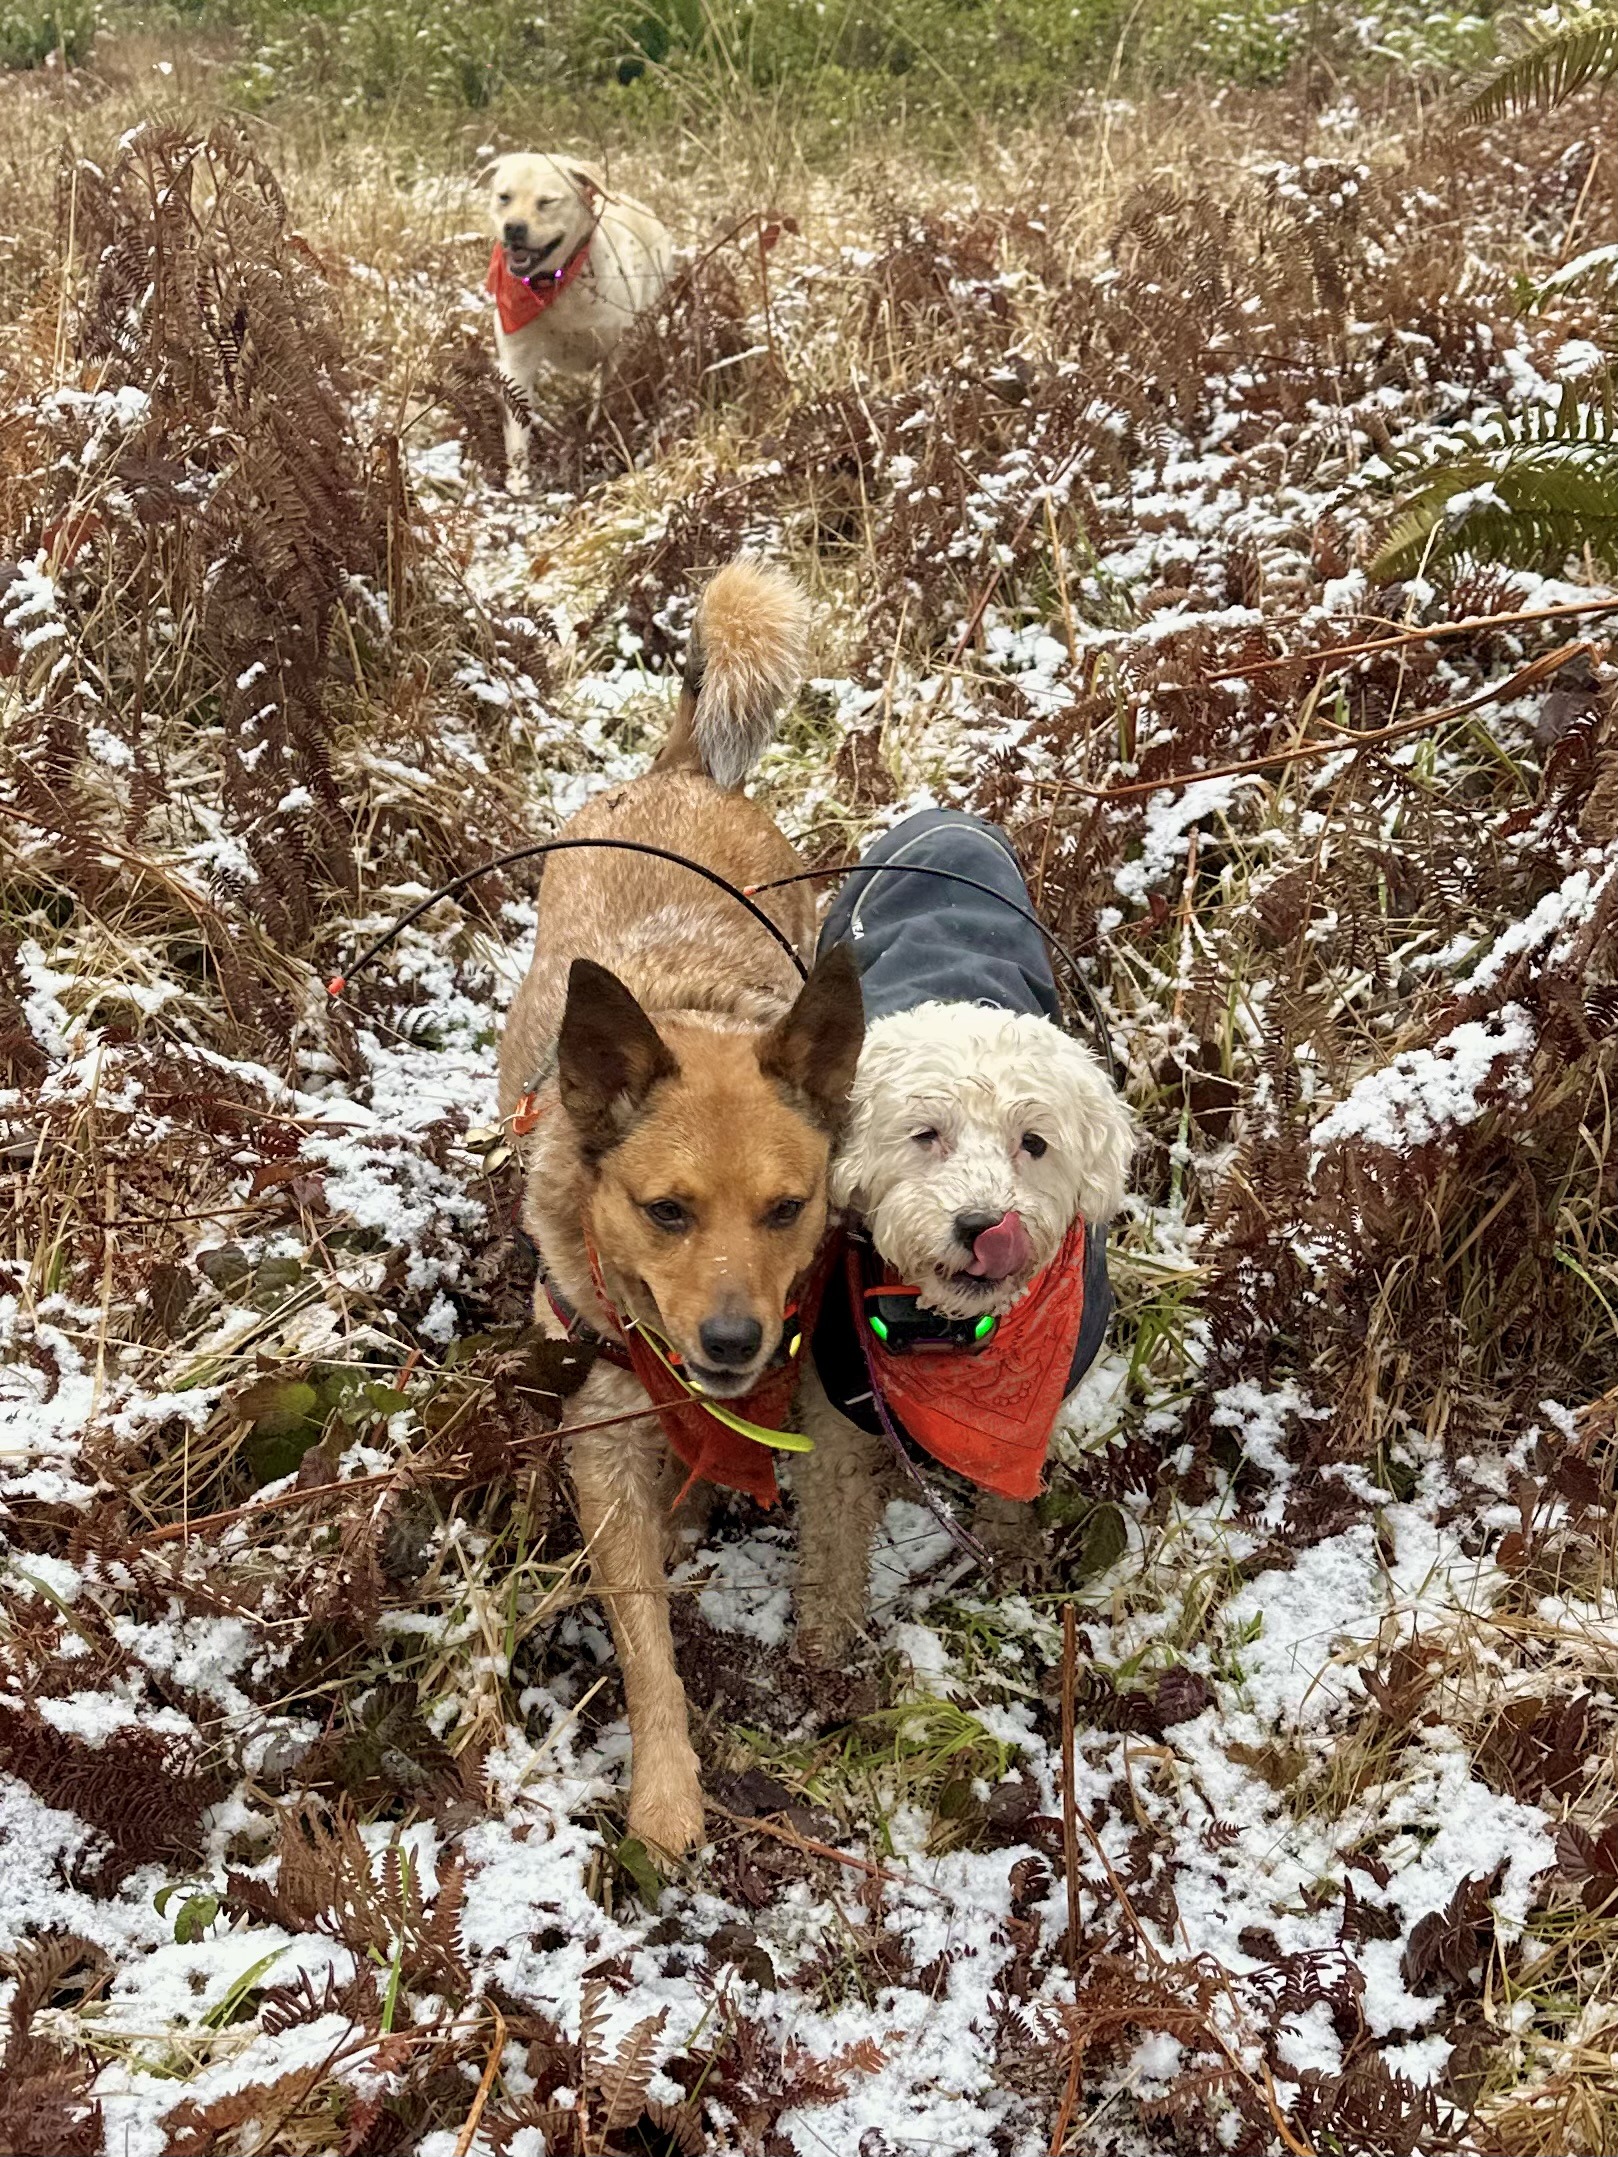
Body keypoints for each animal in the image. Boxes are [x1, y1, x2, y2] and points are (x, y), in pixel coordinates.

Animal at [500, 560, 867, 1855]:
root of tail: (685, 770)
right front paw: (664, 1788)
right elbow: (645, 1643)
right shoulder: (601, 1433)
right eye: (665, 1211)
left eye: (787, 1208)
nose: (731, 1336)